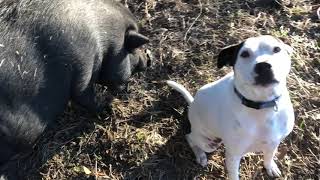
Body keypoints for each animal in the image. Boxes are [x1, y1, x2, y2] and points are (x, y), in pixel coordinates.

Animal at [168, 35, 296, 180]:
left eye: (277, 49)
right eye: (244, 54)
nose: (263, 66)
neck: (262, 107)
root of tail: (193, 103)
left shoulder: (274, 142)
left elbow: (269, 156)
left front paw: (270, 167)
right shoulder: (233, 156)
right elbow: (234, 175)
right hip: (208, 143)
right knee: (190, 137)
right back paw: (200, 155)